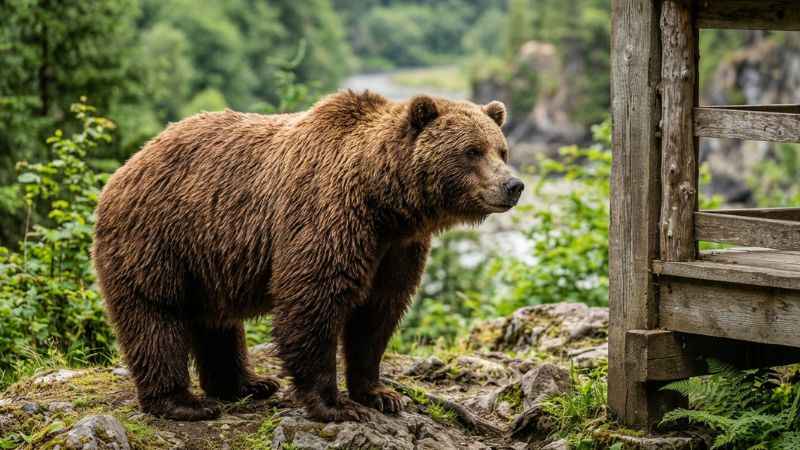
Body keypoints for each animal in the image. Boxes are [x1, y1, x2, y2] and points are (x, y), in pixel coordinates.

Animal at [92, 90, 524, 422]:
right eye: (472, 151)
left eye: (501, 149)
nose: (513, 185)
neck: (384, 202)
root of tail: (126, 167)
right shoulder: (328, 215)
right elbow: (315, 299)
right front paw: (335, 405)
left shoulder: (397, 248)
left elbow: (378, 314)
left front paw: (381, 394)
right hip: (159, 238)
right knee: (155, 314)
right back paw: (184, 403)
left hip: (208, 257)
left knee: (215, 321)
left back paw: (248, 384)